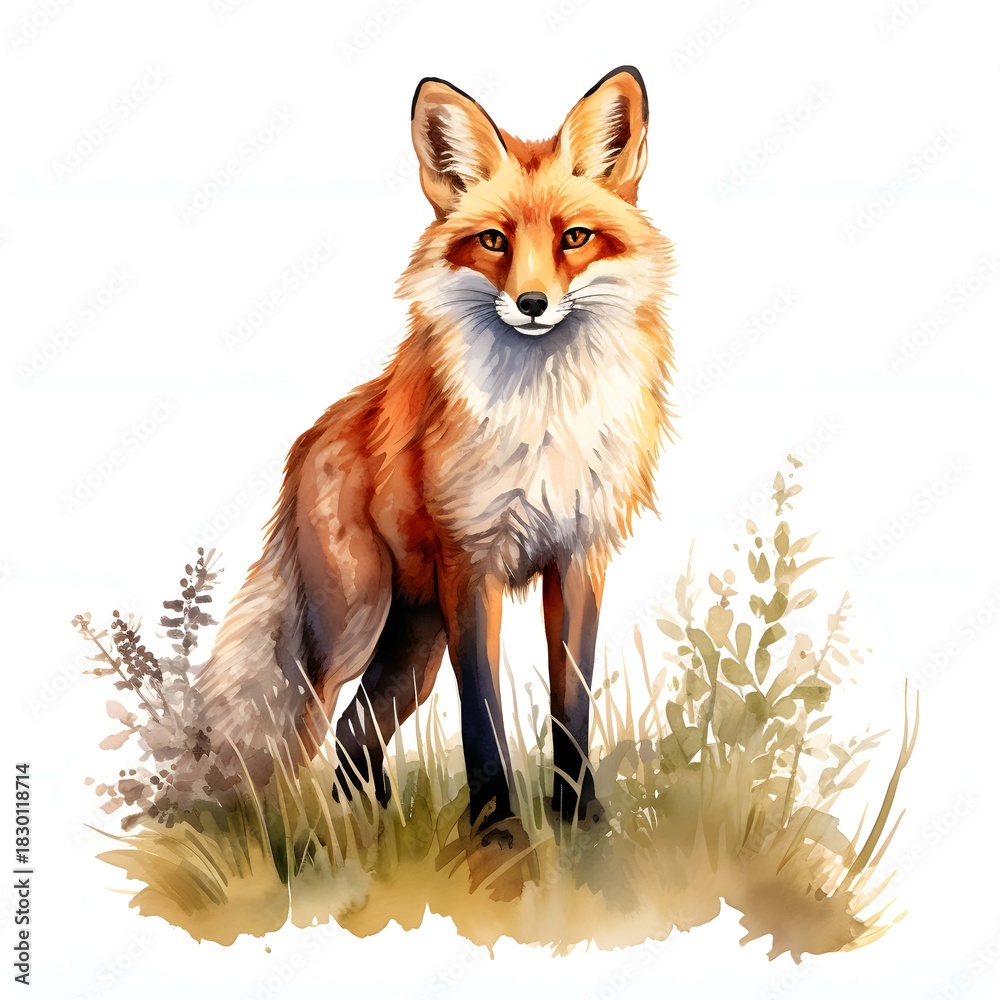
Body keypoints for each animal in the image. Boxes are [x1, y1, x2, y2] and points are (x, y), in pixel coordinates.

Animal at [195, 65, 674, 845]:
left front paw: (581, 824)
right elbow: (483, 714)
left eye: (574, 237)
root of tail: (311, 436)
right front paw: (497, 831)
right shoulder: (469, 563)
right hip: (357, 623)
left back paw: (377, 830)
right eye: (492, 240)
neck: (542, 421)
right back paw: (312, 841)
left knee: (354, 732)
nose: (533, 304)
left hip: (411, 649)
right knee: (309, 727)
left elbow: (572, 707)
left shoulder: (579, 558)